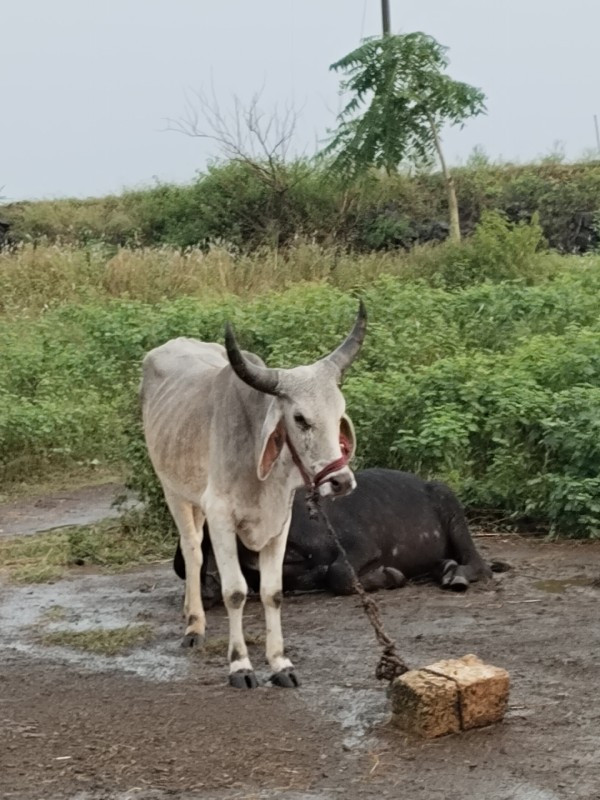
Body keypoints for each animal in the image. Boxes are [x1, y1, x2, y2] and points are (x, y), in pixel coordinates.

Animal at [173, 466, 492, 604]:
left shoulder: (361, 546)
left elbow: (337, 573)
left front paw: (389, 576)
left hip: (448, 500)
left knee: (480, 565)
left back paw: (456, 574)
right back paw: (444, 567)